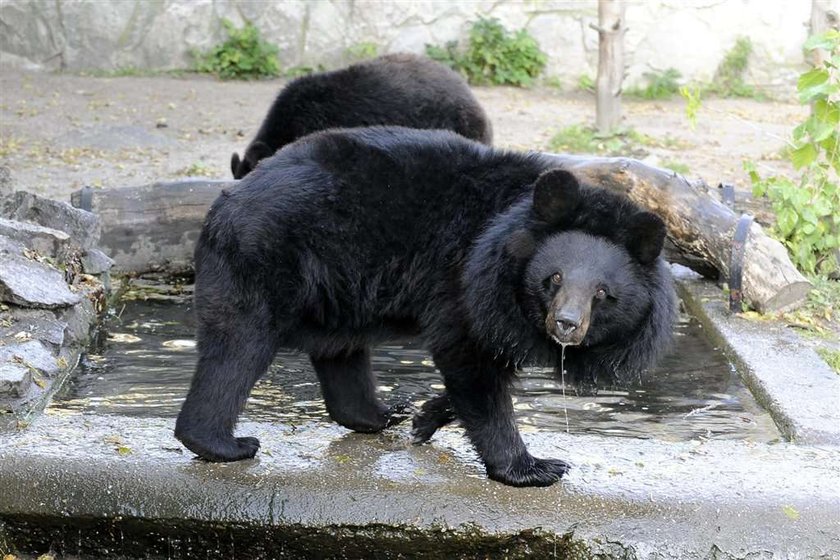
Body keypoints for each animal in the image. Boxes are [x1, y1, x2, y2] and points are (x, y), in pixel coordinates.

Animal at [177, 126, 676, 486]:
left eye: (602, 294)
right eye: (552, 279)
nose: (566, 325)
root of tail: (223, 203)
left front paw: (425, 416)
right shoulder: (465, 278)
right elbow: (470, 359)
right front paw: (534, 468)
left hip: (339, 281)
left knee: (340, 352)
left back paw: (381, 414)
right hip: (264, 258)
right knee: (238, 348)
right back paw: (224, 444)